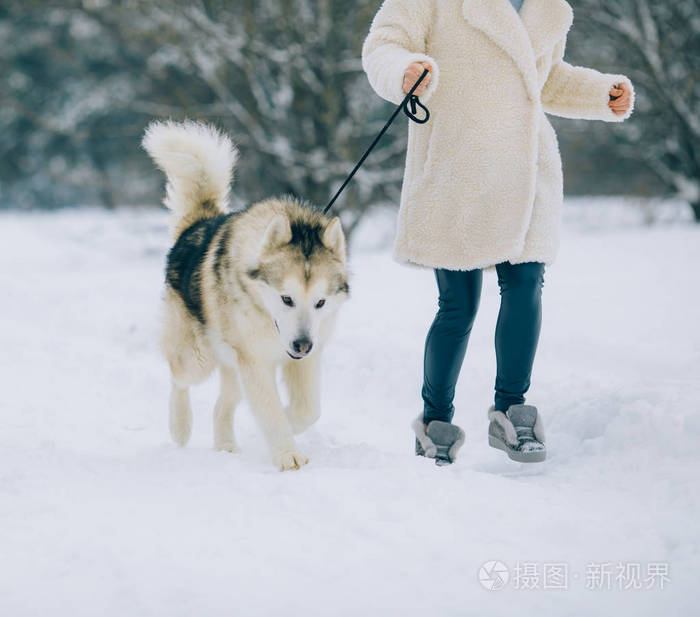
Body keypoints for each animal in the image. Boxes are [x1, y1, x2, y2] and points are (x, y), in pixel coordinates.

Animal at [143, 121, 350, 472]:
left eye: (320, 302)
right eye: (286, 299)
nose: (302, 344)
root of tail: (198, 224)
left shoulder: (307, 359)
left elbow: (308, 410)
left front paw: (288, 423)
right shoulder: (255, 362)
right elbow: (271, 410)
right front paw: (287, 452)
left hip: (233, 366)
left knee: (221, 404)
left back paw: (225, 445)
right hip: (199, 358)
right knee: (178, 378)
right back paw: (180, 425)